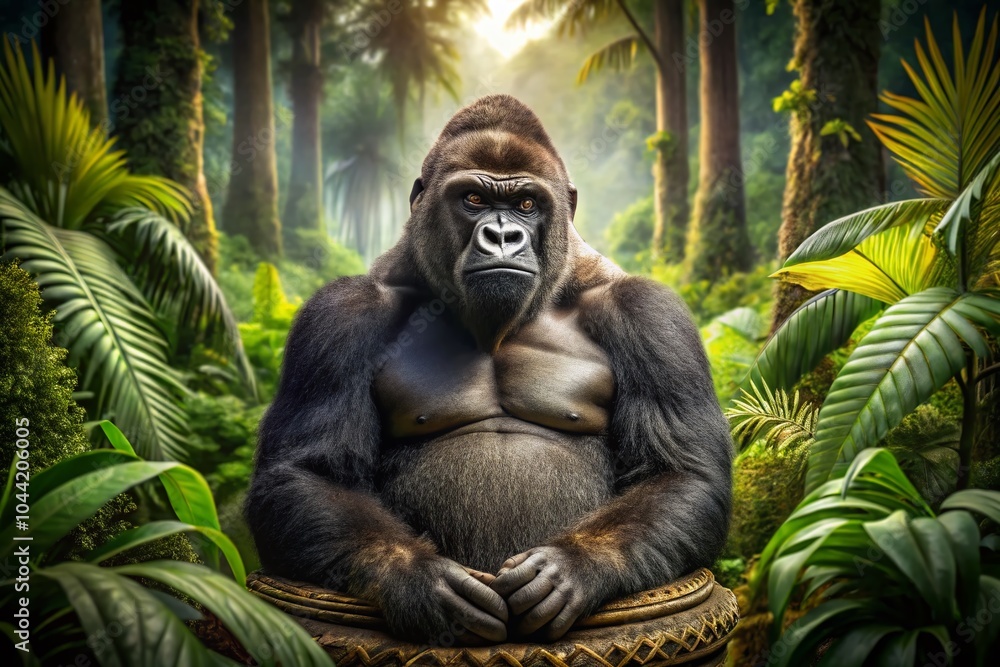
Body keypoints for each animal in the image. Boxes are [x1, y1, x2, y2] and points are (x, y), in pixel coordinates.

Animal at [245, 94, 733, 645]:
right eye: (474, 200)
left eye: (527, 205)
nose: (503, 236)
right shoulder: (338, 316)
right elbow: (304, 472)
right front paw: (419, 581)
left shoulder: (650, 315)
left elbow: (681, 471)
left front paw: (574, 567)